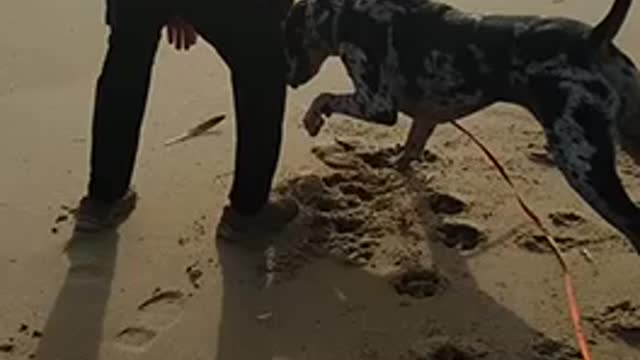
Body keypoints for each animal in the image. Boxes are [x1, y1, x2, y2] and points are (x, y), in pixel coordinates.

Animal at [284, 0, 640, 253]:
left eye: (287, 41)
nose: (288, 82)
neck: (346, 13)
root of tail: (594, 39)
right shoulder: (425, 115)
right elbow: (410, 148)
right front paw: (394, 168)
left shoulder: (377, 104)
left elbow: (324, 97)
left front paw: (312, 119)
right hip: (628, 135)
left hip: (581, 160)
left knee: (633, 223)